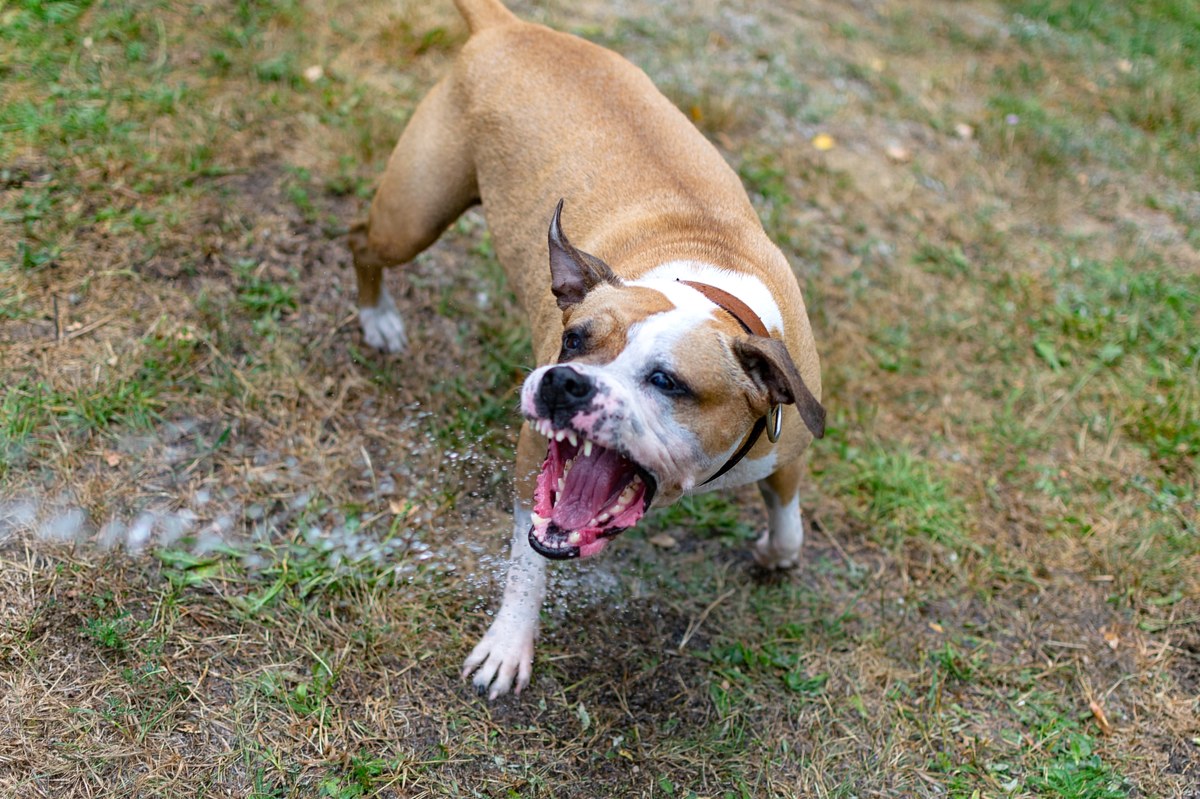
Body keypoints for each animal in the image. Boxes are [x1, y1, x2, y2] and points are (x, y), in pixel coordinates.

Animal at [348, 0, 825, 695]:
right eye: (572, 338)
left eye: (667, 382)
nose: (564, 380)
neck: (706, 289)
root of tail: (511, 26)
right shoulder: (532, 459)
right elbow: (527, 559)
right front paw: (508, 644)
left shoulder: (787, 438)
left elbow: (787, 519)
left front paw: (775, 554)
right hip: (411, 218)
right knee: (362, 240)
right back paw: (377, 316)